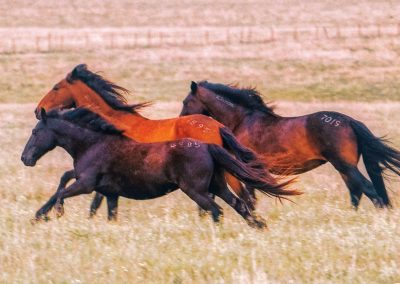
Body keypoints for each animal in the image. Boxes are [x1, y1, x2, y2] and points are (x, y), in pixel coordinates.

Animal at [20, 108, 298, 229]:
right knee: (238, 205)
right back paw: (258, 226)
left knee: (216, 210)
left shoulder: (86, 184)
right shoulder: (109, 193)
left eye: (35, 132)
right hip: (217, 186)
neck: (93, 144)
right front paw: (42, 215)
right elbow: (108, 213)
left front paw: (49, 214)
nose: (25, 158)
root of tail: (209, 146)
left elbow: (61, 192)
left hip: (195, 190)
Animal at [33, 65, 268, 215]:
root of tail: (217, 126)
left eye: (56, 87)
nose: (37, 110)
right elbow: (74, 181)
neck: (112, 123)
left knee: (241, 194)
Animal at [180, 81, 400, 209]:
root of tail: (350, 121)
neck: (242, 119)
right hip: (344, 168)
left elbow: (250, 196)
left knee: (369, 190)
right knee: (357, 192)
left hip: (345, 166)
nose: (181, 120)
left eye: (185, 102)